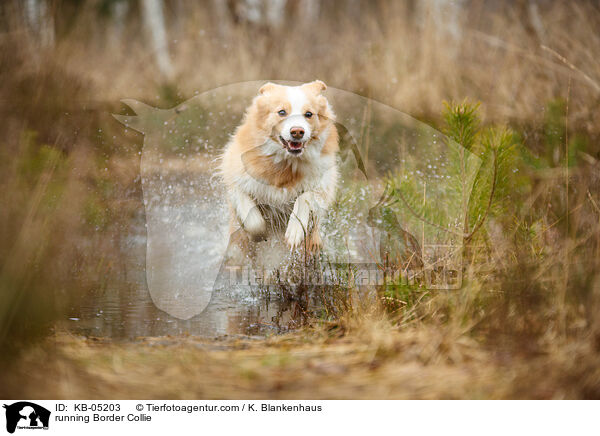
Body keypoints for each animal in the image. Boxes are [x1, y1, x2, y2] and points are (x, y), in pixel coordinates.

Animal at [220, 81, 340, 252]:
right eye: (282, 112)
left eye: (309, 114)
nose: (297, 131)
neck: (286, 163)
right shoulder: (237, 180)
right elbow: (253, 219)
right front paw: (258, 235)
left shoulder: (322, 186)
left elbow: (305, 197)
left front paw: (294, 231)